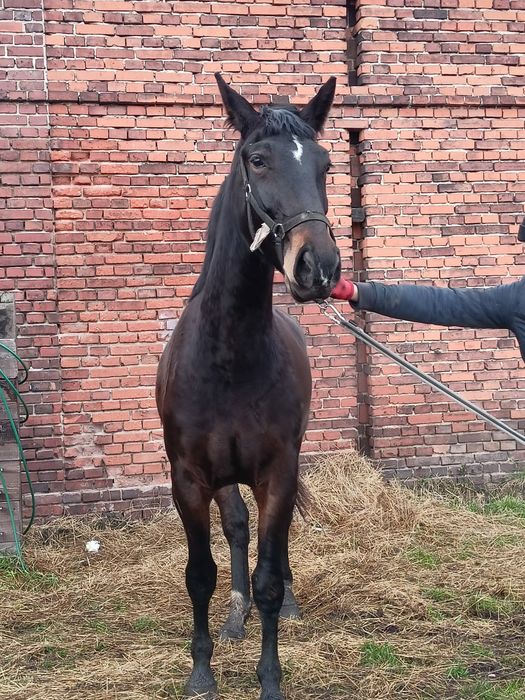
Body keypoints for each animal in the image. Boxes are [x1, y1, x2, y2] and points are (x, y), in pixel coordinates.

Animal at [156, 74, 342, 696]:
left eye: (325, 165)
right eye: (256, 160)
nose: (318, 266)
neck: (229, 356)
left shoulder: (278, 471)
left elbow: (268, 577)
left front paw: (270, 677)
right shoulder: (189, 479)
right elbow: (200, 573)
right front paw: (201, 672)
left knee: (271, 547)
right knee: (236, 529)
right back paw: (234, 617)